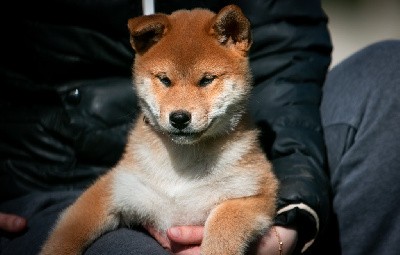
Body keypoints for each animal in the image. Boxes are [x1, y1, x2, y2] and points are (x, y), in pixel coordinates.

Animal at [39, 4, 278, 255]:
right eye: (164, 79)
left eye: (206, 80)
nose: (179, 118)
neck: (181, 167)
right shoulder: (115, 187)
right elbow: (66, 234)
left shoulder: (256, 193)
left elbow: (223, 227)